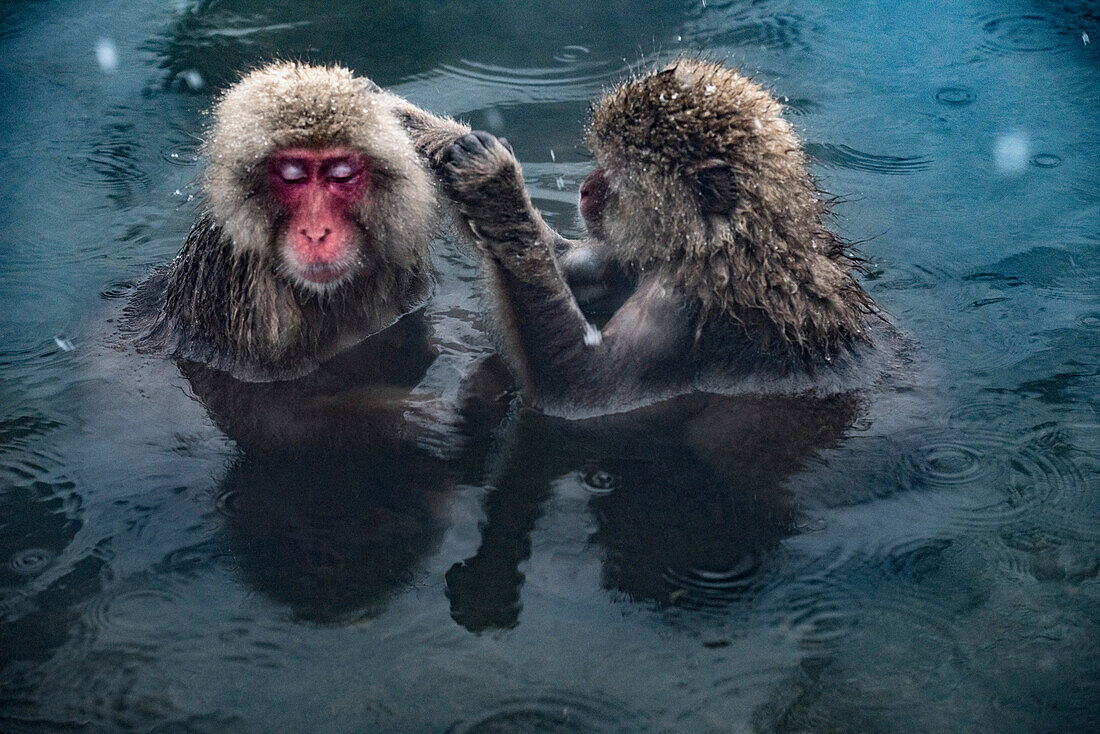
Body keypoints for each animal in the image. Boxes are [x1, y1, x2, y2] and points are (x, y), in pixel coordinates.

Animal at [437, 60, 893, 415]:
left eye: (618, 172)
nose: (584, 189)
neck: (729, 246)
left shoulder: (681, 305)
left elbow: (584, 387)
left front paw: (494, 186)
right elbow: (569, 266)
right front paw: (445, 141)